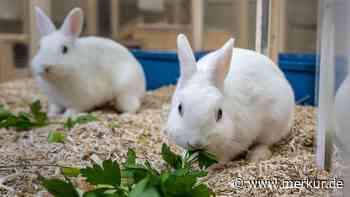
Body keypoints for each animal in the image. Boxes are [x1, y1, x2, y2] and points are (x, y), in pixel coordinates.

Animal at [165, 34, 294, 163]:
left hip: (275, 123)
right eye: (179, 108)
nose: (197, 143)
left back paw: (256, 156)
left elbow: (223, 157)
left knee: (265, 143)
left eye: (220, 114)